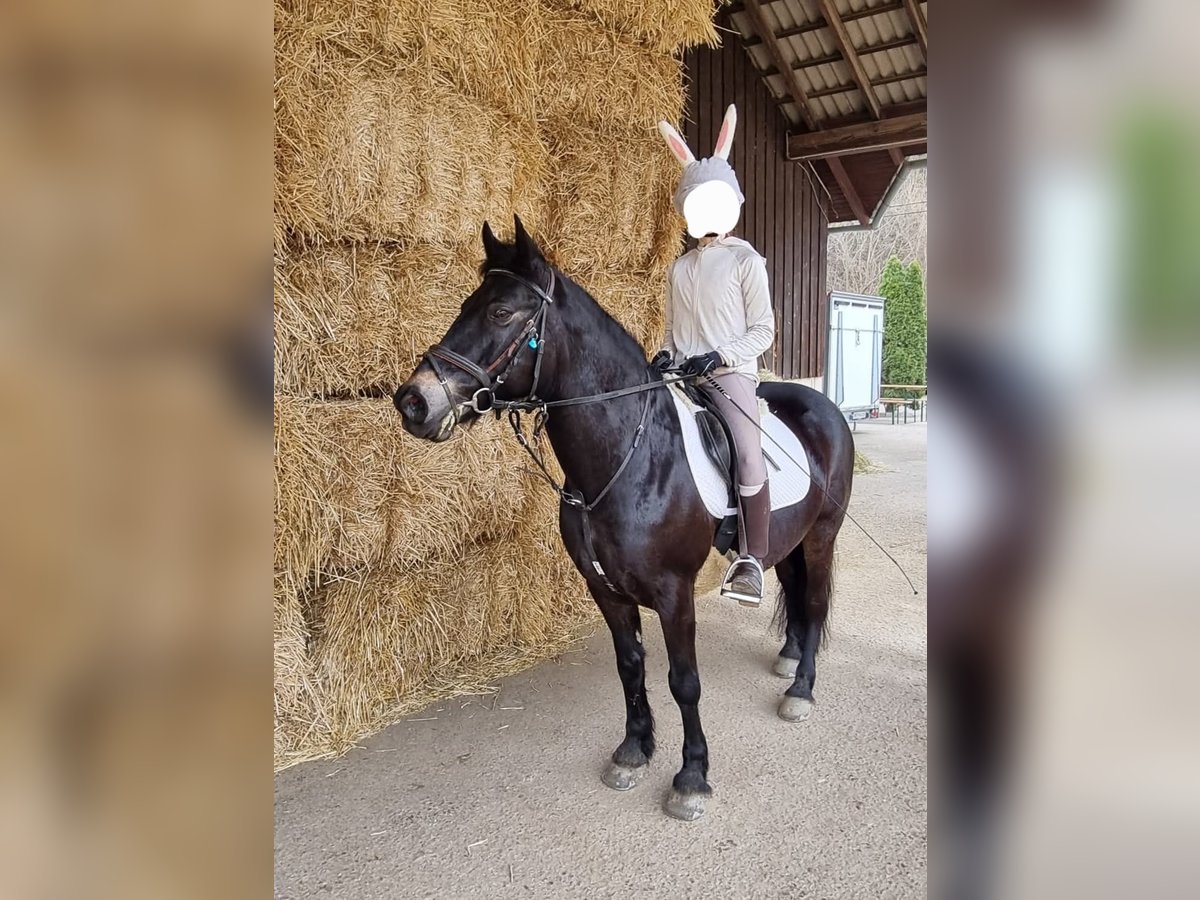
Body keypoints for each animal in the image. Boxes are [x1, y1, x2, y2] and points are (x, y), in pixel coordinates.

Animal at [393, 217, 854, 816]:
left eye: (500, 312)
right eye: (466, 305)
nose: (413, 402)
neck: (624, 460)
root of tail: (825, 409)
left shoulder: (675, 594)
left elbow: (684, 681)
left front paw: (691, 775)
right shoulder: (605, 589)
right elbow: (630, 665)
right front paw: (634, 750)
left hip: (822, 535)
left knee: (816, 602)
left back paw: (800, 689)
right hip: (788, 537)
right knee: (794, 590)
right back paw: (789, 656)